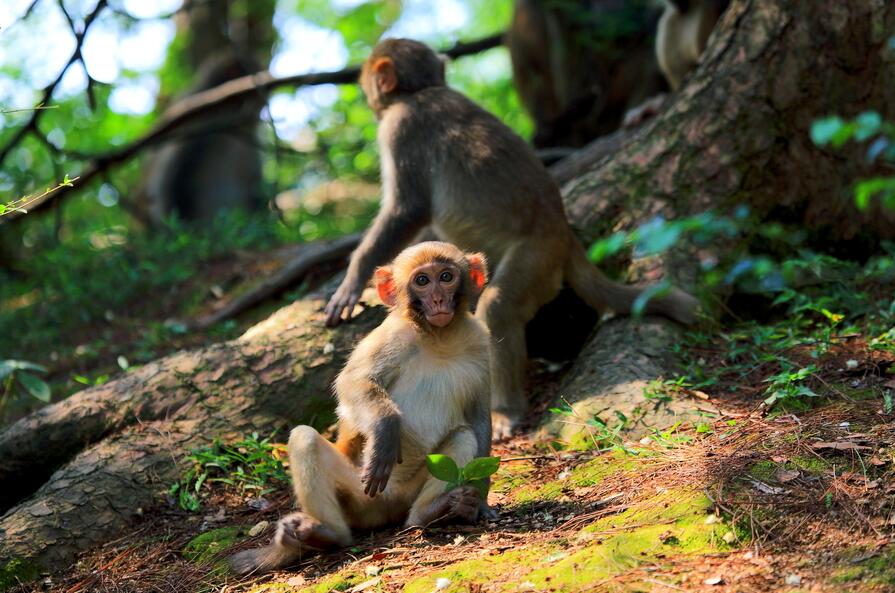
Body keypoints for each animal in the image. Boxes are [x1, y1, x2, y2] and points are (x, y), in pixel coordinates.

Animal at [228, 242, 494, 572]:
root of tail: (387, 508)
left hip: (407, 494)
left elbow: (478, 419)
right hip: (359, 498)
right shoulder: (392, 334)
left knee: (463, 436)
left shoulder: (479, 342)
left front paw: (480, 502)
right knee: (305, 438)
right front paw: (385, 428)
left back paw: (433, 512)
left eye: (446, 276)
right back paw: (326, 534)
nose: (437, 299)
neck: (439, 337)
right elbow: (352, 383)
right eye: (422, 281)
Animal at [324, 39, 700, 440]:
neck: (422, 90)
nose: (370, 98)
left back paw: (506, 410)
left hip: (537, 257)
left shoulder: (402, 128)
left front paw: (350, 283)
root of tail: (563, 232)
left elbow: (406, 210)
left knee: (498, 306)